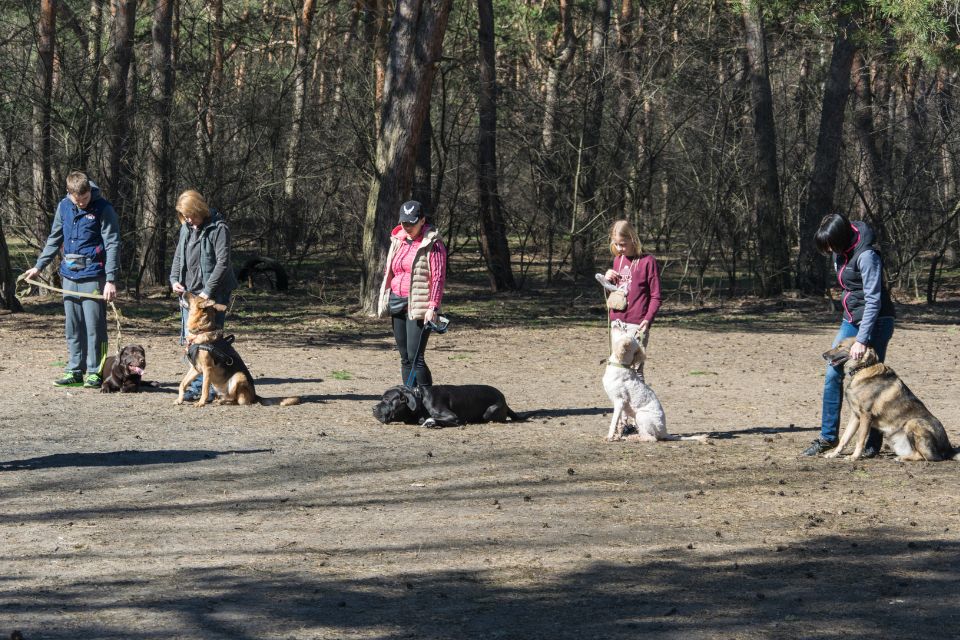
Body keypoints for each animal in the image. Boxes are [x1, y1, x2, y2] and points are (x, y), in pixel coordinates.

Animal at [376, 384, 524, 430]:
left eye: (387, 399)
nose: (373, 408)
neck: (420, 399)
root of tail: (505, 400)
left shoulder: (453, 417)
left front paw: (430, 422)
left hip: (489, 412)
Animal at [820, 338, 956, 462]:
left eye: (840, 346)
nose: (823, 355)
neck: (863, 368)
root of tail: (948, 448)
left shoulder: (865, 416)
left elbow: (860, 440)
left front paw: (854, 457)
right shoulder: (855, 416)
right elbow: (844, 438)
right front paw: (833, 454)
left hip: (912, 423)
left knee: (928, 457)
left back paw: (901, 458)